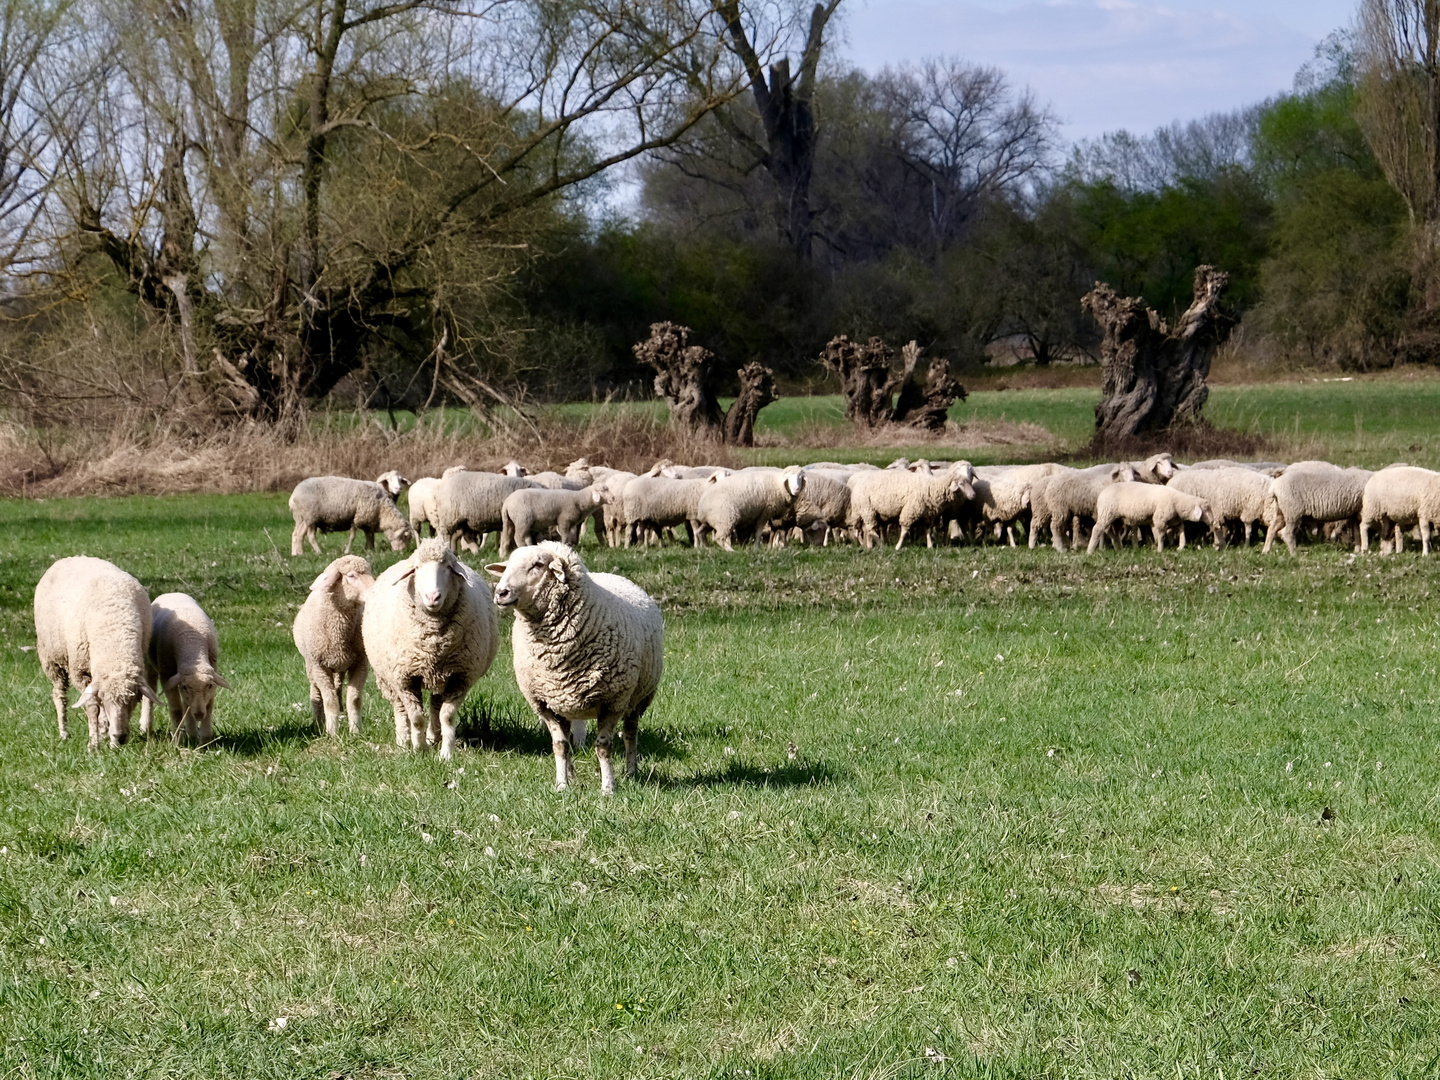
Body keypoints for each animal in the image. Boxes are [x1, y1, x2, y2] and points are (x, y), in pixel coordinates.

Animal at [31, 558, 159, 754]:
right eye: (106, 699)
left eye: (133, 700)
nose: (120, 737)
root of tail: (68, 558)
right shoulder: (80, 673)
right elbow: (92, 708)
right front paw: (93, 745)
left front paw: (110, 740)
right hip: (52, 659)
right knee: (59, 694)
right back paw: (64, 732)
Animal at [142, 596, 231, 748]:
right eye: (185, 686)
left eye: (209, 686)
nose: (199, 715)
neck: (191, 644)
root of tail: (171, 593)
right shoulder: (167, 675)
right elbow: (176, 710)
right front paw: (178, 740)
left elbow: (208, 707)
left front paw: (204, 741)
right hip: (150, 665)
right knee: (150, 694)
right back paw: (146, 727)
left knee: (186, 704)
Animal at [289, 552, 371, 743]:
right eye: (351, 576)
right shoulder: (319, 666)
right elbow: (329, 700)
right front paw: (332, 733)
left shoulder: (360, 662)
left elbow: (354, 699)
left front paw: (356, 732)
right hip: (311, 666)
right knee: (316, 694)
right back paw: (319, 724)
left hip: (341, 664)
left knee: (338, 687)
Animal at [360, 541, 501, 760]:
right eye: (417, 568)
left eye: (448, 567)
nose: (433, 597)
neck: (434, 643)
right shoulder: (405, 679)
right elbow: (416, 717)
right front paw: (420, 750)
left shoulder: (460, 677)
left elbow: (447, 716)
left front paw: (445, 754)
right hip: (388, 678)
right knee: (399, 708)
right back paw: (403, 741)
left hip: (441, 676)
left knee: (435, 706)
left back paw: (433, 737)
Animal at [486, 544, 659, 800]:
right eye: (507, 565)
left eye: (538, 565)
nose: (501, 592)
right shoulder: (545, 704)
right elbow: (559, 745)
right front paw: (562, 785)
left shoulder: (613, 701)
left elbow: (603, 747)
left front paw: (608, 788)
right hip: (563, 703)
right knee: (568, 740)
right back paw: (572, 775)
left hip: (637, 699)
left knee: (630, 733)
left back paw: (631, 772)